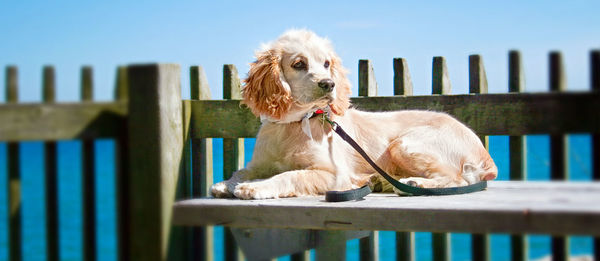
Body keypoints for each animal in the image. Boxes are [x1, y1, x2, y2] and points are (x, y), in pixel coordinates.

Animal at [211, 29, 496, 199]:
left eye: (327, 63)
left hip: (405, 144)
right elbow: (241, 171)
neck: (295, 123)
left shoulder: (334, 174)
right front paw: (227, 184)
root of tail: (484, 153)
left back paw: (417, 184)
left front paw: (255, 187)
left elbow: (290, 175)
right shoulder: (259, 163)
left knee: (456, 178)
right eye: (299, 64)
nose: (329, 84)